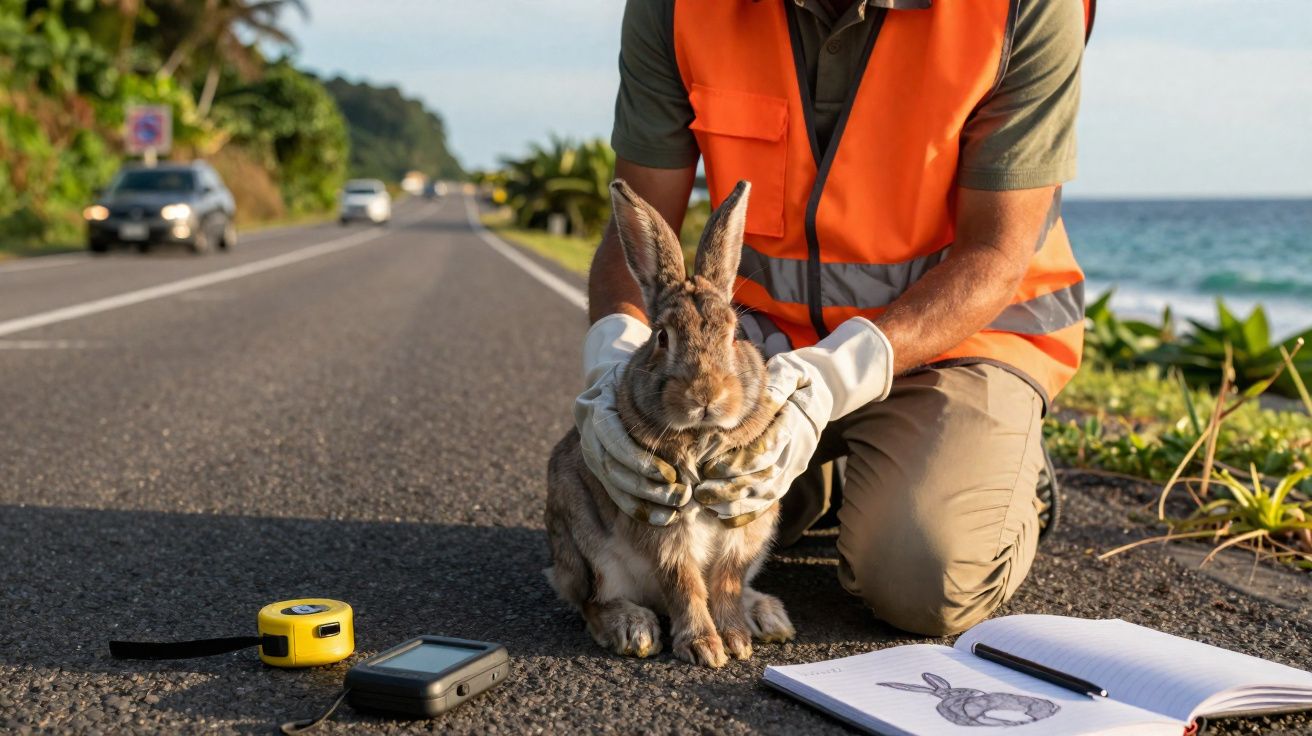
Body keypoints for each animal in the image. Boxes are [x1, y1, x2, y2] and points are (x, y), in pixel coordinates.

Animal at [544, 179, 795, 668]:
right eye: (662, 337)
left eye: (734, 334)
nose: (706, 396)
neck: (701, 436)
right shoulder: (664, 521)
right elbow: (684, 583)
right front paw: (704, 647)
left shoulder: (743, 519)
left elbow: (725, 582)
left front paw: (735, 639)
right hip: (582, 543)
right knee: (591, 601)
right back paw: (632, 629)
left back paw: (766, 616)